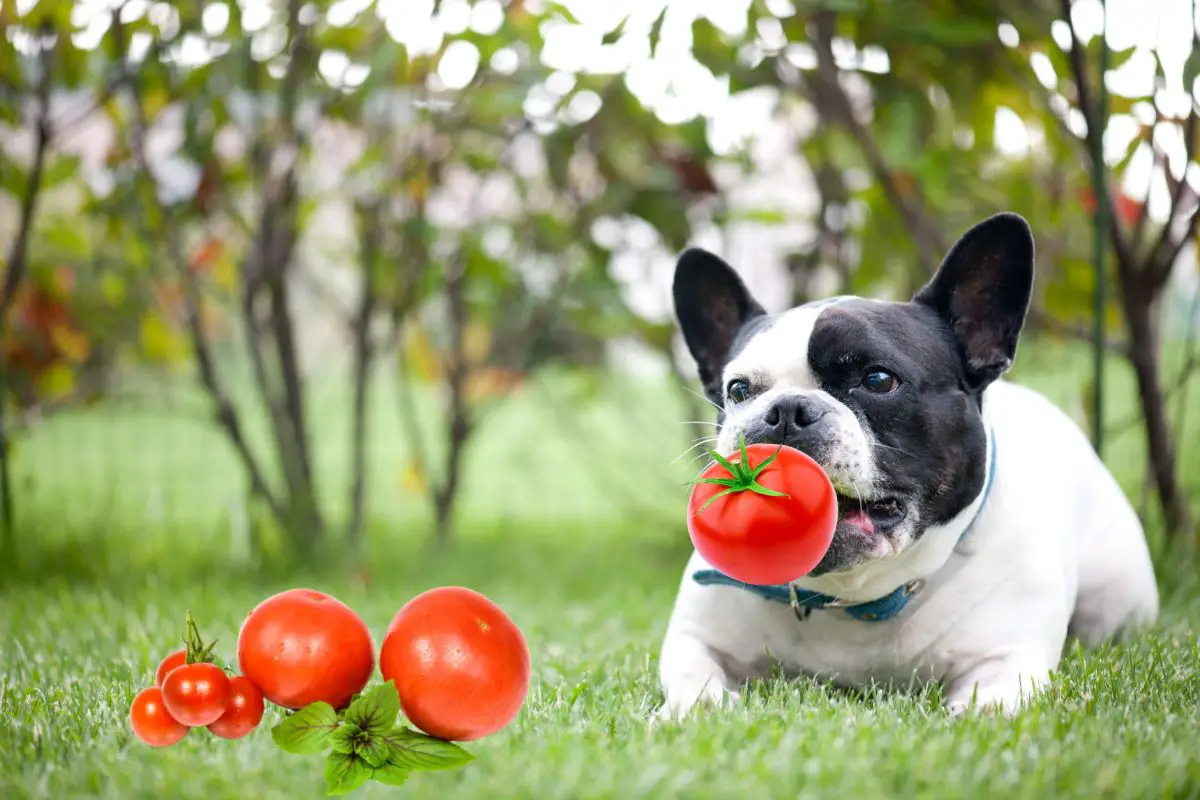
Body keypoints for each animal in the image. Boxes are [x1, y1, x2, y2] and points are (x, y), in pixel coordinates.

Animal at [662, 212, 1156, 719]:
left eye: (878, 379)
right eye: (738, 390)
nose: (785, 411)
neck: (854, 598)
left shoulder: (1005, 659)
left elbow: (989, 707)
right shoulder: (694, 639)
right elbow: (693, 680)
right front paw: (693, 710)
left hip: (1116, 599)